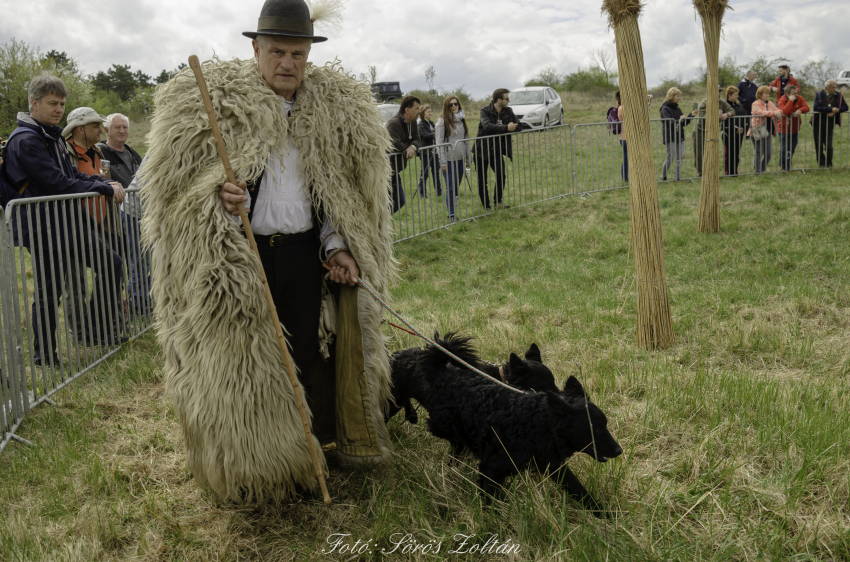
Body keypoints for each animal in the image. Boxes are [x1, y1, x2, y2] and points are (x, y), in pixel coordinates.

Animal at [384, 332, 556, 420]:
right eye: (547, 385)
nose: (560, 394)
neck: (501, 379)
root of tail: (393, 356)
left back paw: (412, 415)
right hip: (394, 400)